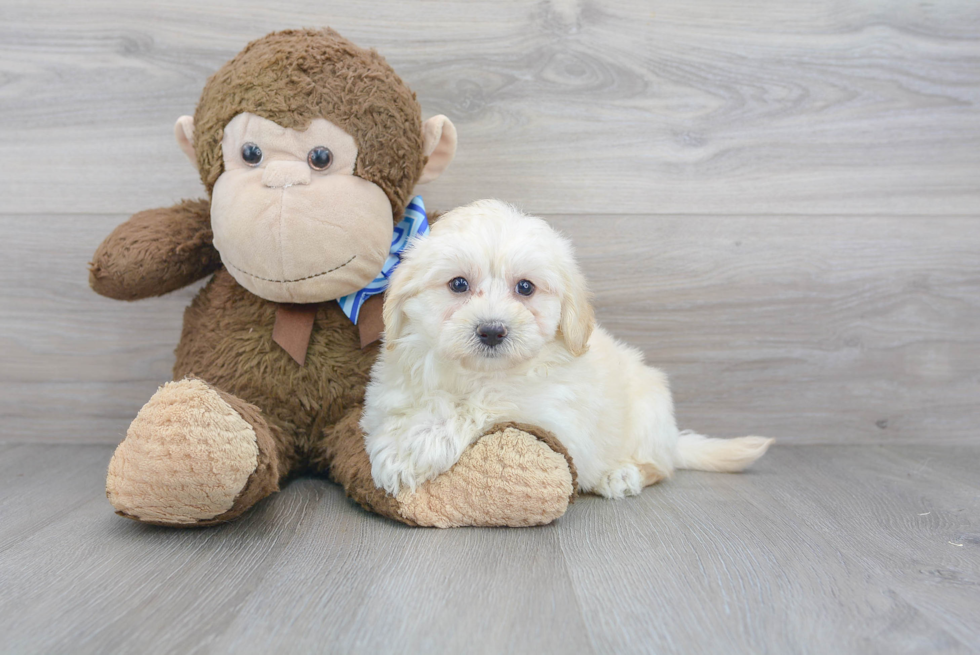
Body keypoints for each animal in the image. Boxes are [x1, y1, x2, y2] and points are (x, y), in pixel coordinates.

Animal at [360, 200, 772, 498]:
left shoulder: (549, 412)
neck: (476, 373)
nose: (492, 331)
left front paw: (415, 445)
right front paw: (397, 438)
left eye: (526, 288)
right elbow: (397, 409)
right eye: (458, 284)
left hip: (649, 409)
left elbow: (482, 404)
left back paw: (621, 475)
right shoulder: (388, 390)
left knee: (660, 467)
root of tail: (672, 440)